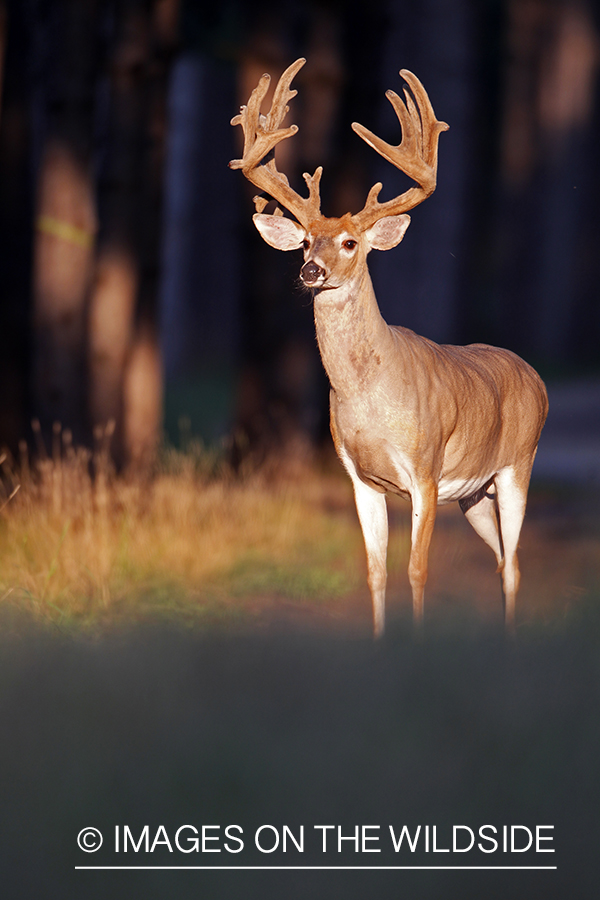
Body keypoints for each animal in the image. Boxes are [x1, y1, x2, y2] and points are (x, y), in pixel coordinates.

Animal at [230, 56, 548, 636]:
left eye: (350, 242)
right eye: (305, 242)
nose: (311, 271)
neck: (370, 395)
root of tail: (533, 375)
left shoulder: (425, 469)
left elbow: (416, 569)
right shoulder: (360, 477)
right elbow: (375, 571)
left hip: (517, 464)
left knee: (513, 564)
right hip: (475, 494)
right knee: (499, 560)